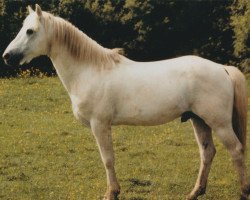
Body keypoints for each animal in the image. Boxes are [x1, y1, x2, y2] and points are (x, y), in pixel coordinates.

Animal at [2, 4, 250, 200]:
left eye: (30, 31)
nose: (7, 56)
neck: (90, 70)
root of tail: (222, 69)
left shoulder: (100, 124)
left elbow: (108, 159)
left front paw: (112, 193)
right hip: (199, 120)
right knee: (207, 152)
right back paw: (195, 192)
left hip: (218, 123)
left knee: (236, 150)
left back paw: (242, 192)